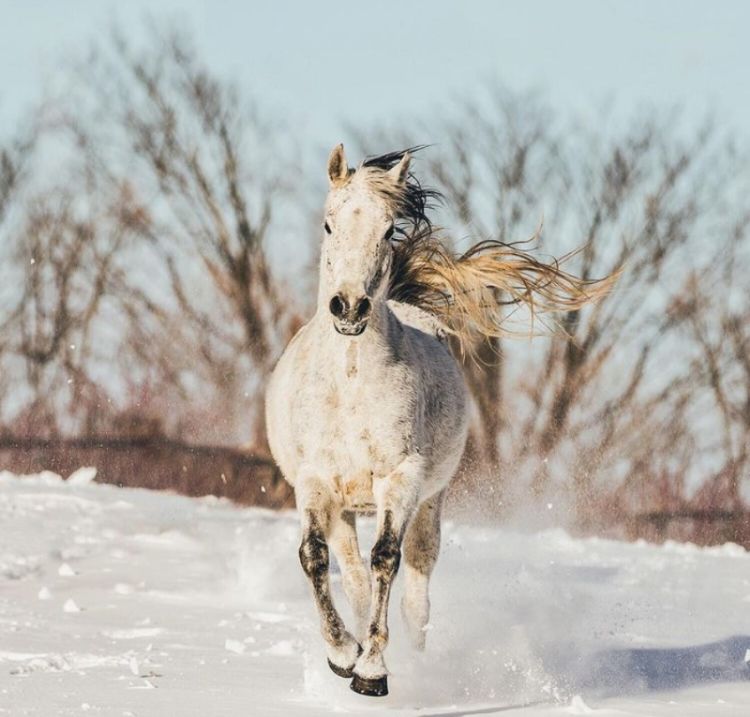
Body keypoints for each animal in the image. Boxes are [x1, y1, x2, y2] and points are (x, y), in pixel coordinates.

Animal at [264, 144, 612, 692]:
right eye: (328, 224)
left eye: (389, 229)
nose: (349, 307)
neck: (351, 383)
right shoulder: (315, 481)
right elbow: (313, 557)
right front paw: (342, 653)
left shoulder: (402, 480)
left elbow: (387, 559)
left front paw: (372, 670)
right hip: (344, 507)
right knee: (354, 577)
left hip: (431, 502)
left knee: (414, 591)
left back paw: (414, 656)